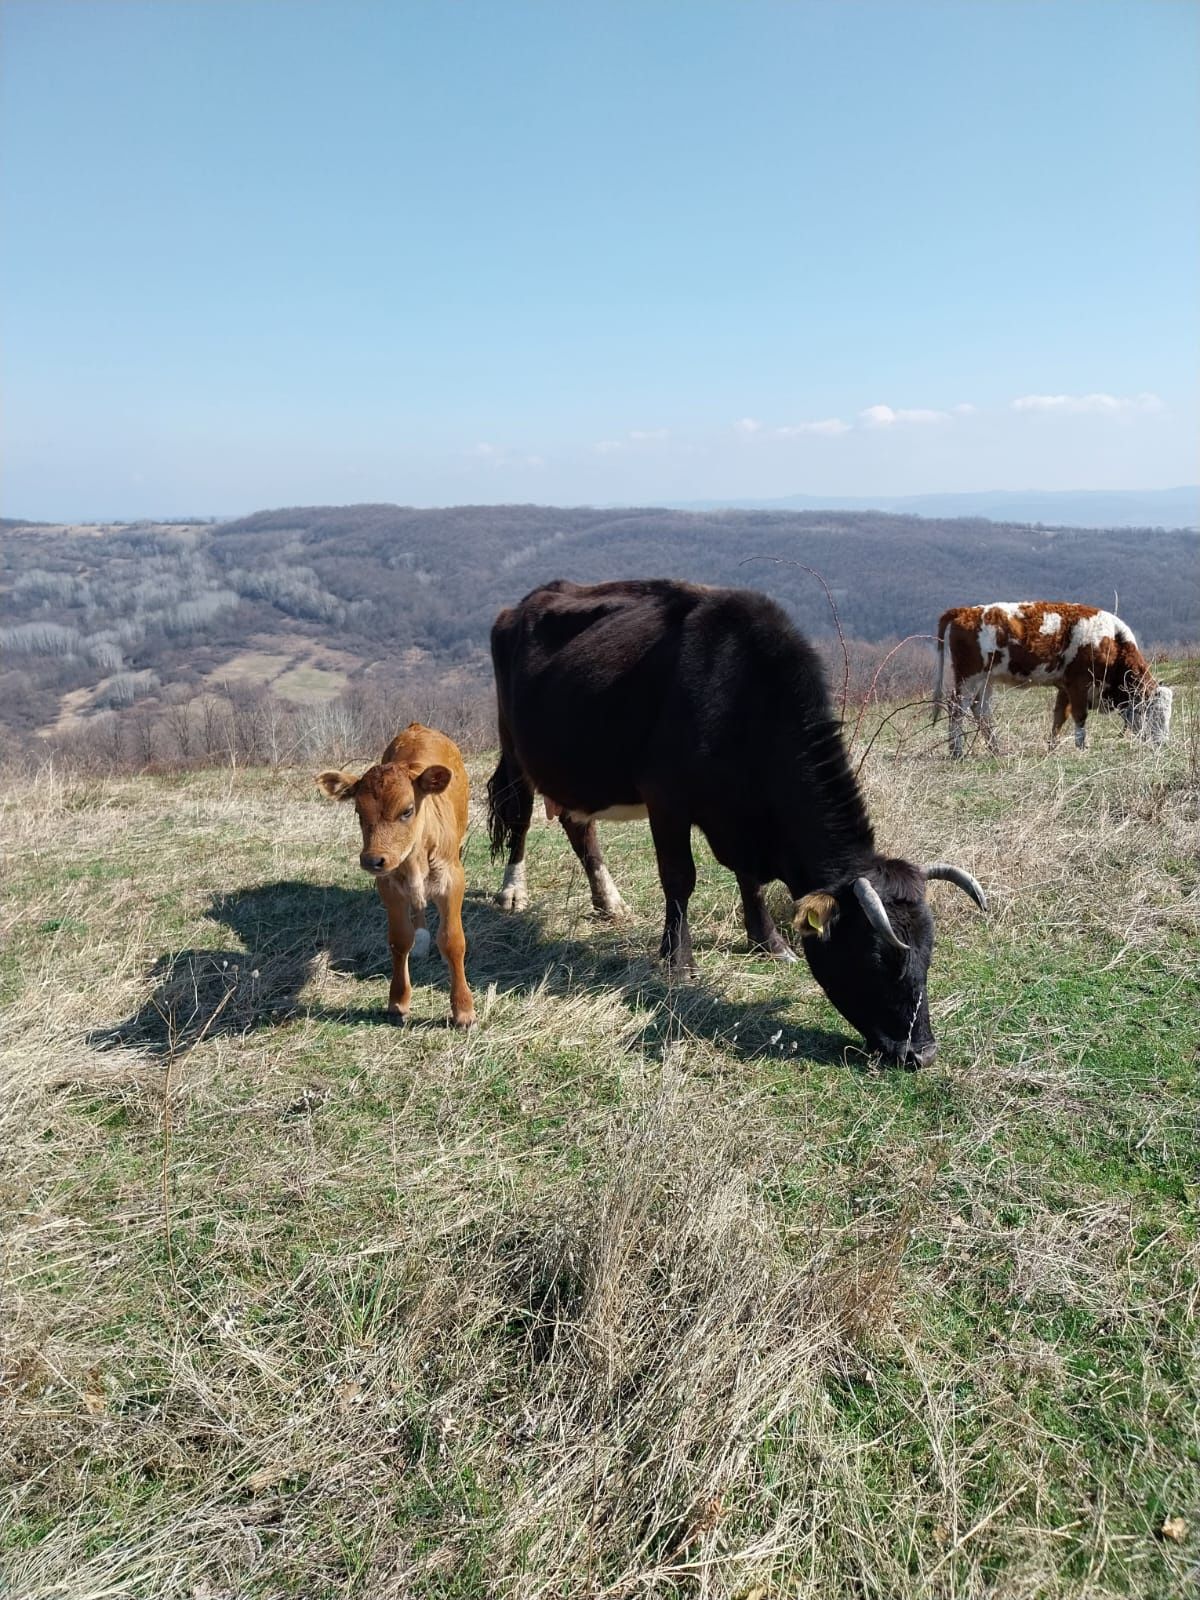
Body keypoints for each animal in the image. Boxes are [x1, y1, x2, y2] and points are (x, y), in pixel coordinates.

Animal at [316, 723, 476, 1024]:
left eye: (407, 810)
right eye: (358, 812)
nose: (372, 859)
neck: (415, 860)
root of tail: (418, 727)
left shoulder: (452, 880)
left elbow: (452, 940)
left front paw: (463, 1010)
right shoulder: (388, 886)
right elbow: (399, 940)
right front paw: (398, 1001)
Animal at [486, 582, 985, 1068]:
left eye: (928, 954)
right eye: (877, 957)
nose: (921, 1053)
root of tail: (527, 600)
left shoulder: (743, 821)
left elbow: (751, 882)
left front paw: (769, 942)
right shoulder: (666, 796)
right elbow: (680, 878)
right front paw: (678, 962)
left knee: (580, 829)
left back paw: (609, 902)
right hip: (515, 746)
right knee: (521, 817)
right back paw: (513, 892)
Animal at [934, 601, 1177, 758]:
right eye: (1152, 713)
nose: (1162, 743)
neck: (1111, 641)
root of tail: (964, 611)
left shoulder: (1064, 686)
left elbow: (1060, 716)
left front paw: (1053, 746)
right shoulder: (1079, 683)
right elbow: (1080, 716)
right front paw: (1082, 746)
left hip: (986, 680)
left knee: (980, 710)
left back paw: (996, 749)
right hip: (969, 677)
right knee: (957, 708)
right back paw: (957, 751)